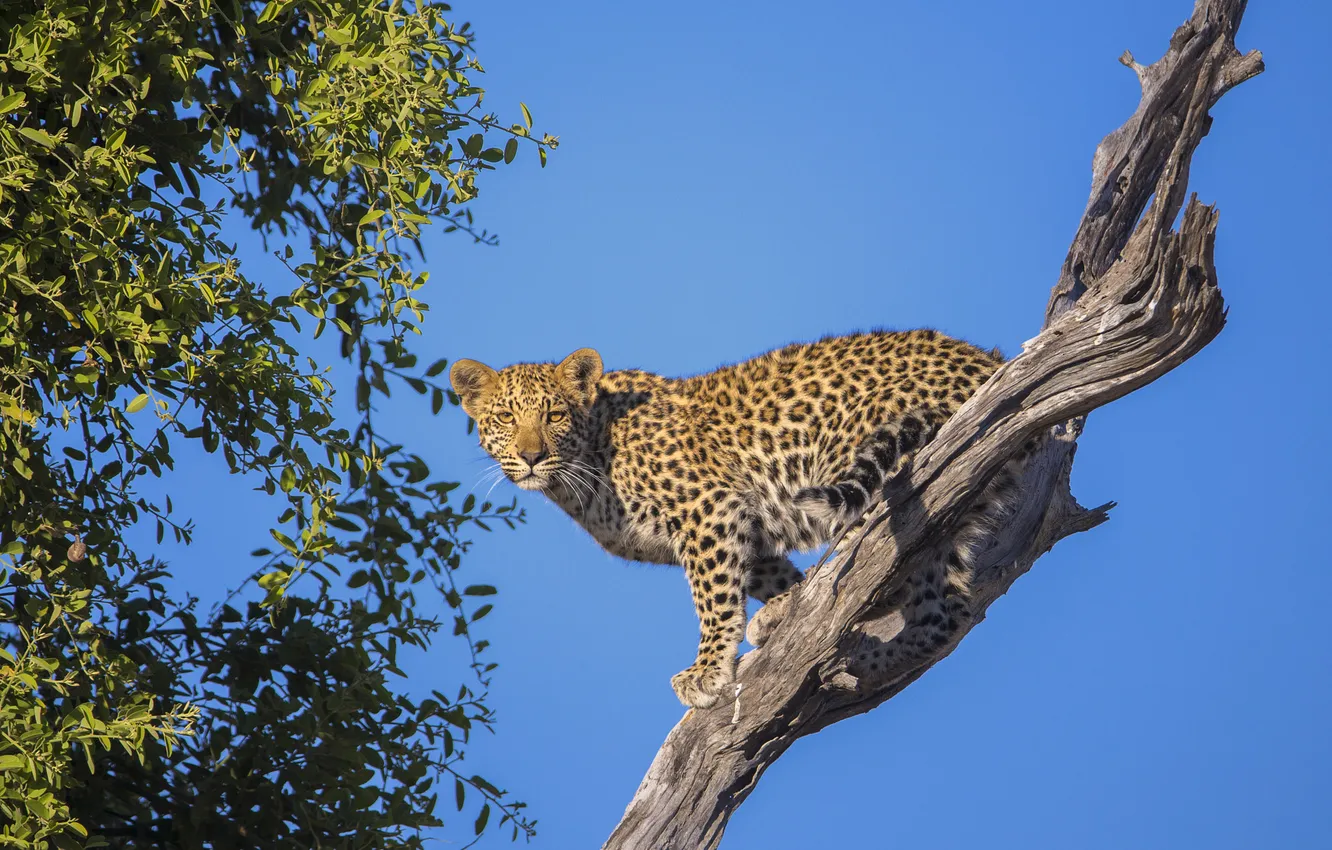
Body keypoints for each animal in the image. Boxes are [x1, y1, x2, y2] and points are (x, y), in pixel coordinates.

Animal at [450, 329, 1028, 709]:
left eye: (553, 415)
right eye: (506, 418)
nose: (530, 457)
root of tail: (983, 360)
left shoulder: (707, 509)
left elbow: (714, 598)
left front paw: (708, 670)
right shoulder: (739, 525)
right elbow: (763, 572)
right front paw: (784, 607)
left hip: (852, 451)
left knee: (870, 550)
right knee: (943, 613)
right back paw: (859, 667)